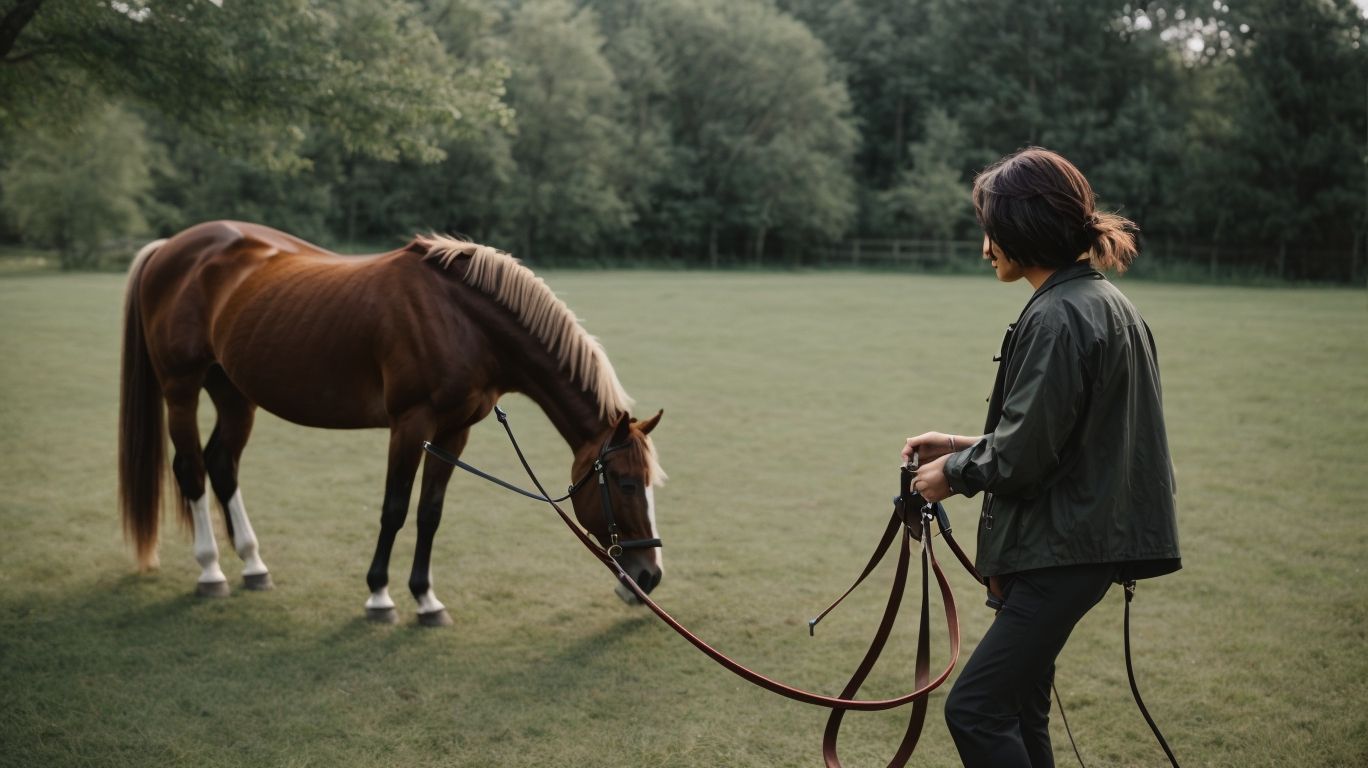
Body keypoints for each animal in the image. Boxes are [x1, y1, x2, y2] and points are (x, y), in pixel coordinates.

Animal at [118, 220, 665, 625]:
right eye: (624, 482)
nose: (649, 576)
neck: (463, 320)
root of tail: (172, 247)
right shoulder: (410, 424)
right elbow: (395, 509)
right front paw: (379, 596)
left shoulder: (455, 431)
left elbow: (430, 512)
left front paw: (426, 599)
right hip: (181, 389)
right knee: (191, 470)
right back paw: (210, 571)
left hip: (234, 393)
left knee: (222, 465)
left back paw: (253, 565)